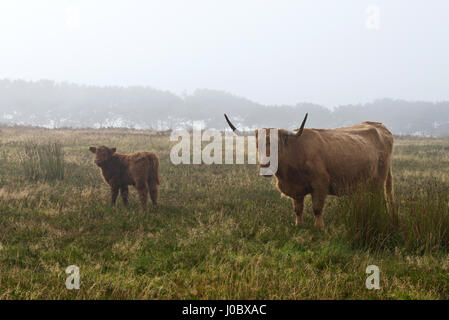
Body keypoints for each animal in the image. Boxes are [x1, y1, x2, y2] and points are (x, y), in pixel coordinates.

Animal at [224, 114, 392, 229]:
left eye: (277, 145)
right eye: (257, 145)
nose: (266, 166)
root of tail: (379, 126)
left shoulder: (320, 185)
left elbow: (317, 208)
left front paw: (319, 227)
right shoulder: (296, 188)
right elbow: (298, 209)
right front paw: (299, 225)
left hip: (378, 181)